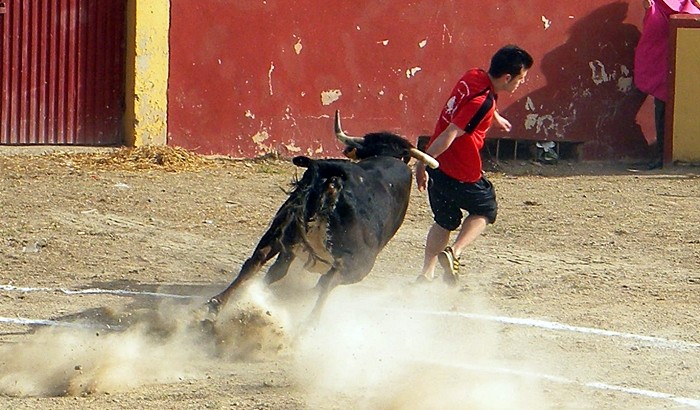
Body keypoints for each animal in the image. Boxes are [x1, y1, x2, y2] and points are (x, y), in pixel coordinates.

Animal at [208, 111, 438, 324]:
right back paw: (308, 324)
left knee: (256, 260)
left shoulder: (290, 246)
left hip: (281, 227)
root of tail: (334, 176)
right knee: (327, 282)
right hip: (358, 263)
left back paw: (218, 306)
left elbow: (275, 271)